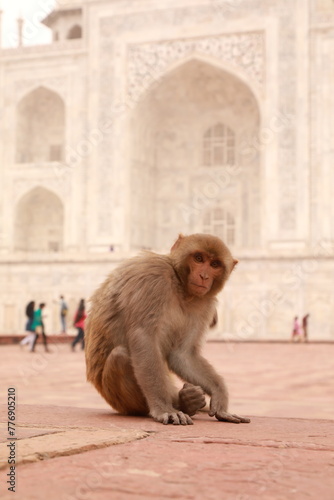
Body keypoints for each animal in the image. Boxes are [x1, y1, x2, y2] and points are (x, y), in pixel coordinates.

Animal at [85, 234, 249, 426]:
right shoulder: (154, 277)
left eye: (214, 264)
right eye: (199, 258)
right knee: (120, 356)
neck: (180, 286)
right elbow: (144, 338)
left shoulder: (204, 304)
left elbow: (182, 354)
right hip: (118, 400)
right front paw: (165, 409)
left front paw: (219, 395)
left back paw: (189, 401)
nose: (204, 276)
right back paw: (181, 404)